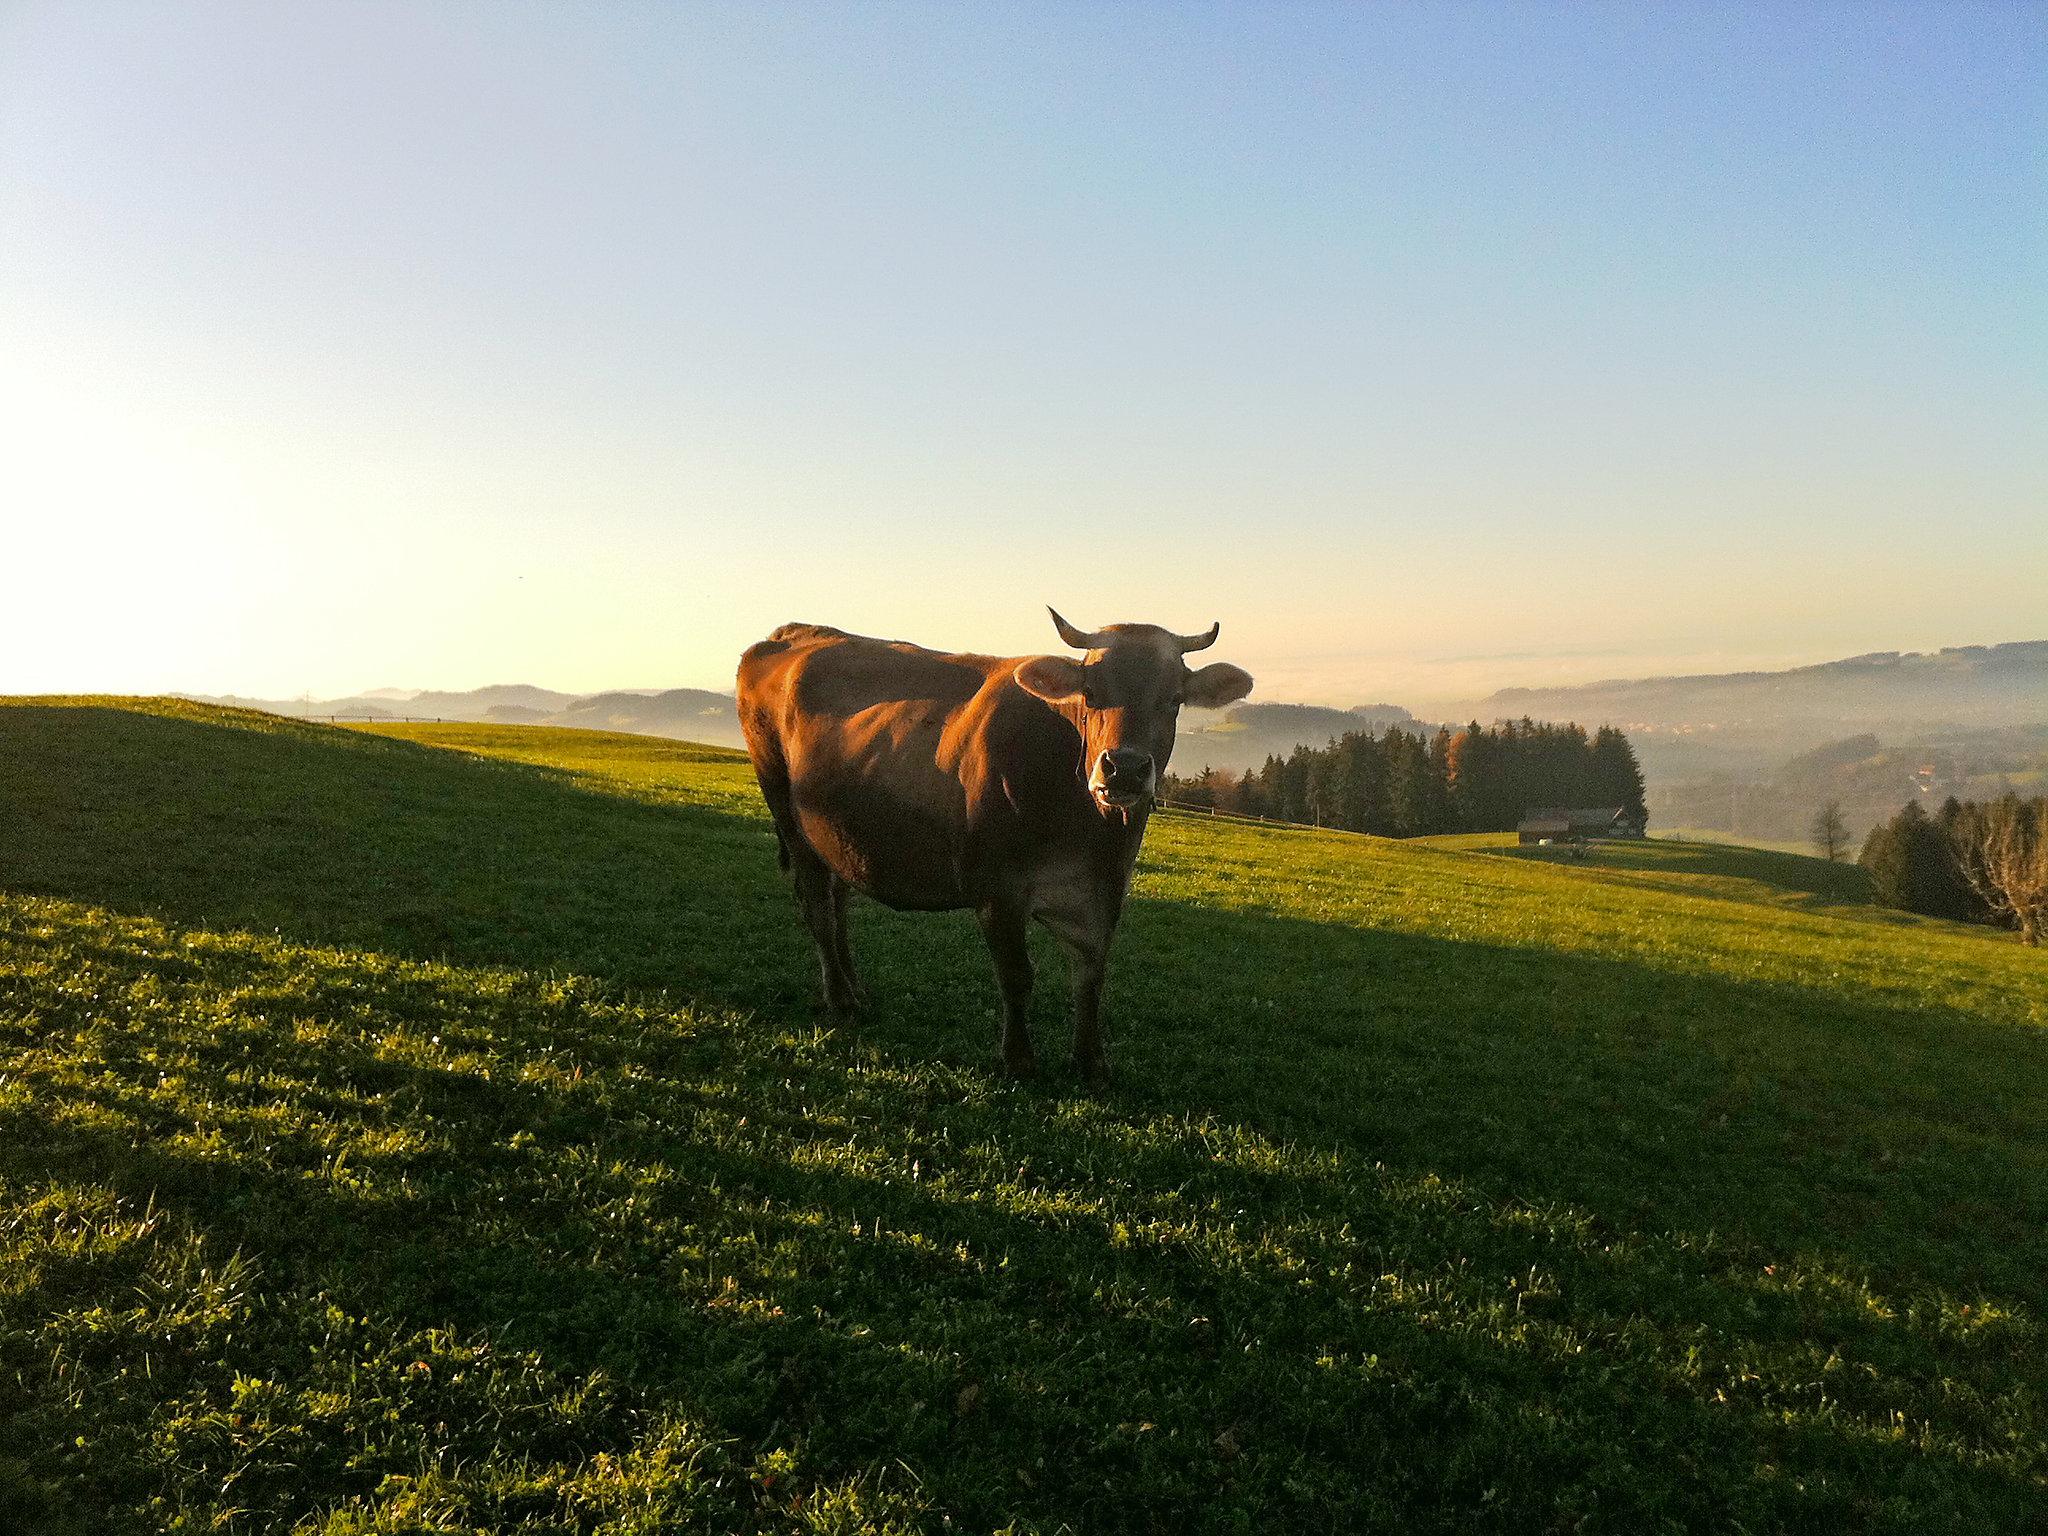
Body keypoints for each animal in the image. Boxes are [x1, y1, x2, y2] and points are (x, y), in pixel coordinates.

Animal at [737, 606, 1245, 1089]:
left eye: (1174, 700)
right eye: (1090, 692)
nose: (1123, 768)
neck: (1087, 828)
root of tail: (791, 634)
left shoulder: (1103, 894)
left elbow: (1090, 980)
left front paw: (1091, 1063)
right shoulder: (998, 889)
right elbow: (1017, 976)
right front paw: (1019, 1060)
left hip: (838, 833)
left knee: (839, 901)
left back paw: (854, 987)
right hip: (788, 812)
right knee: (817, 908)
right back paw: (840, 998)